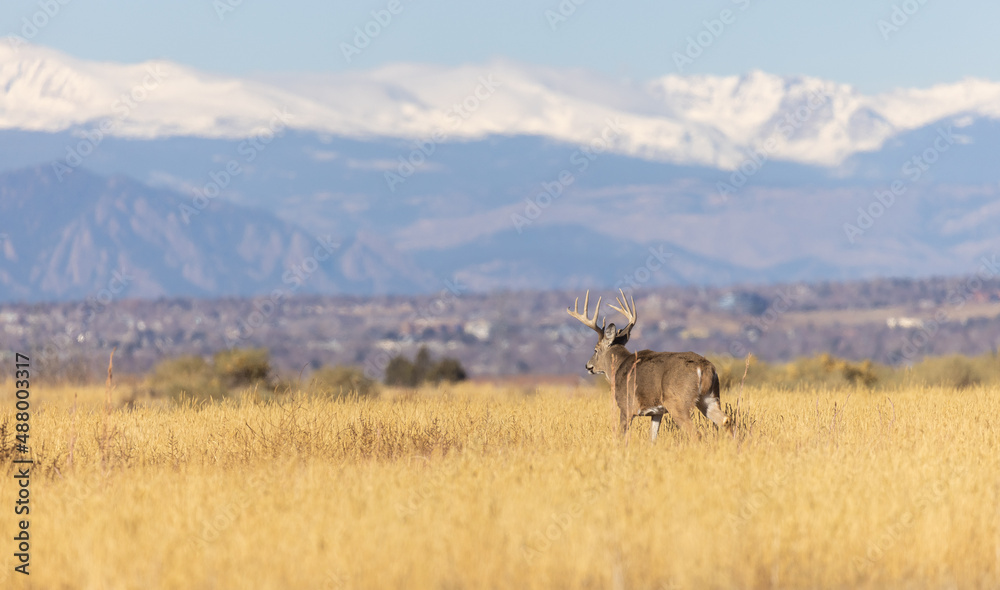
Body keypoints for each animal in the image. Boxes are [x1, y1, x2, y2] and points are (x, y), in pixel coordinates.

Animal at [567, 289, 733, 442]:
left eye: (595, 349)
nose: (588, 366)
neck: (619, 367)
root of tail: (704, 368)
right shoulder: (657, 411)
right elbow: (652, 438)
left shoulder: (626, 406)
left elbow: (621, 436)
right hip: (710, 397)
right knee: (725, 420)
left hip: (678, 402)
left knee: (695, 433)